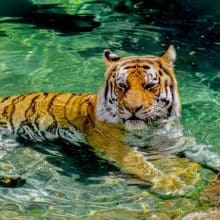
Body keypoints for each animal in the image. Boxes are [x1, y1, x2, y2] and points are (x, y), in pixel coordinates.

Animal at [0, 46, 220, 192]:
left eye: (150, 86)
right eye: (122, 86)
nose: (133, 108)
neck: (153, 127)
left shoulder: (176, 140)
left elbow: (205, 152)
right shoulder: (114, 145)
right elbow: (141, 163)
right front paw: (170, 183)